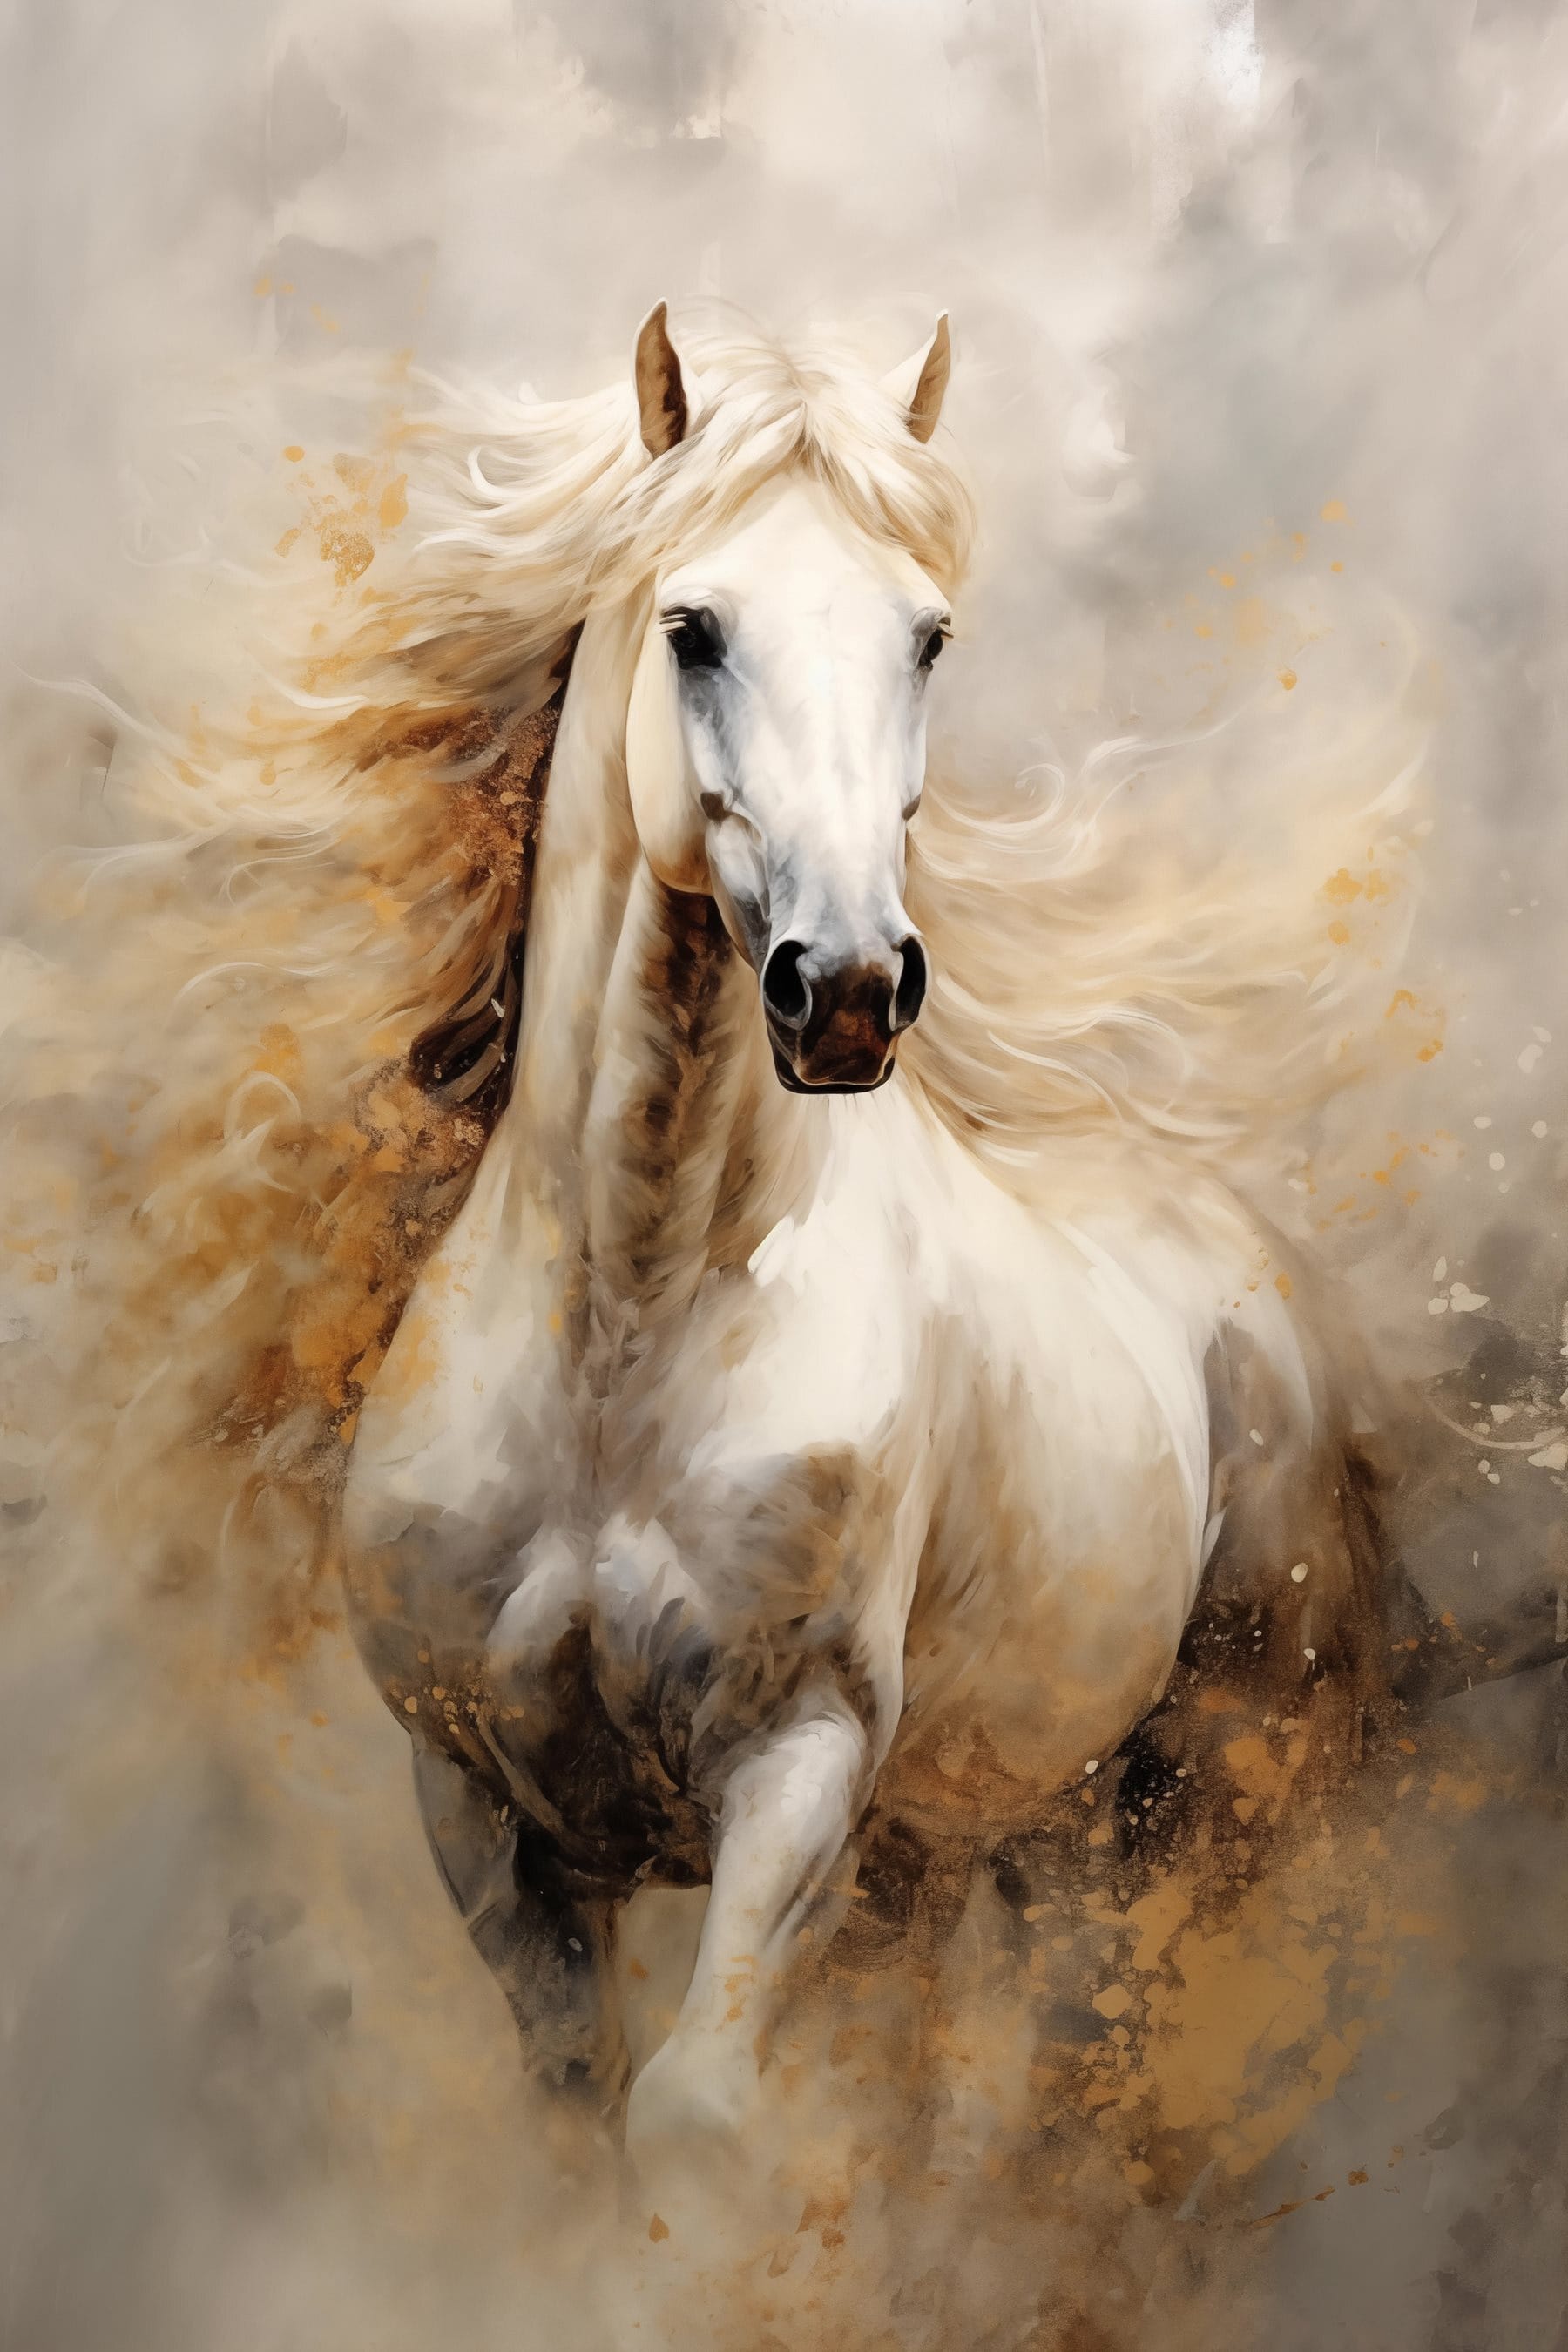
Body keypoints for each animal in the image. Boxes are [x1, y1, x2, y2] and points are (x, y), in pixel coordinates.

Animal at [340, 303, 1394, 2165]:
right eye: (694, 628)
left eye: (928, 637)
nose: (842, 990)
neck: (627, 1328)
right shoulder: (484, 1815)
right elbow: (581, 2119)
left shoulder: (802, 1772)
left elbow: (696, 2117)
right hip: (985, 1843)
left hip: (1195, 1791)